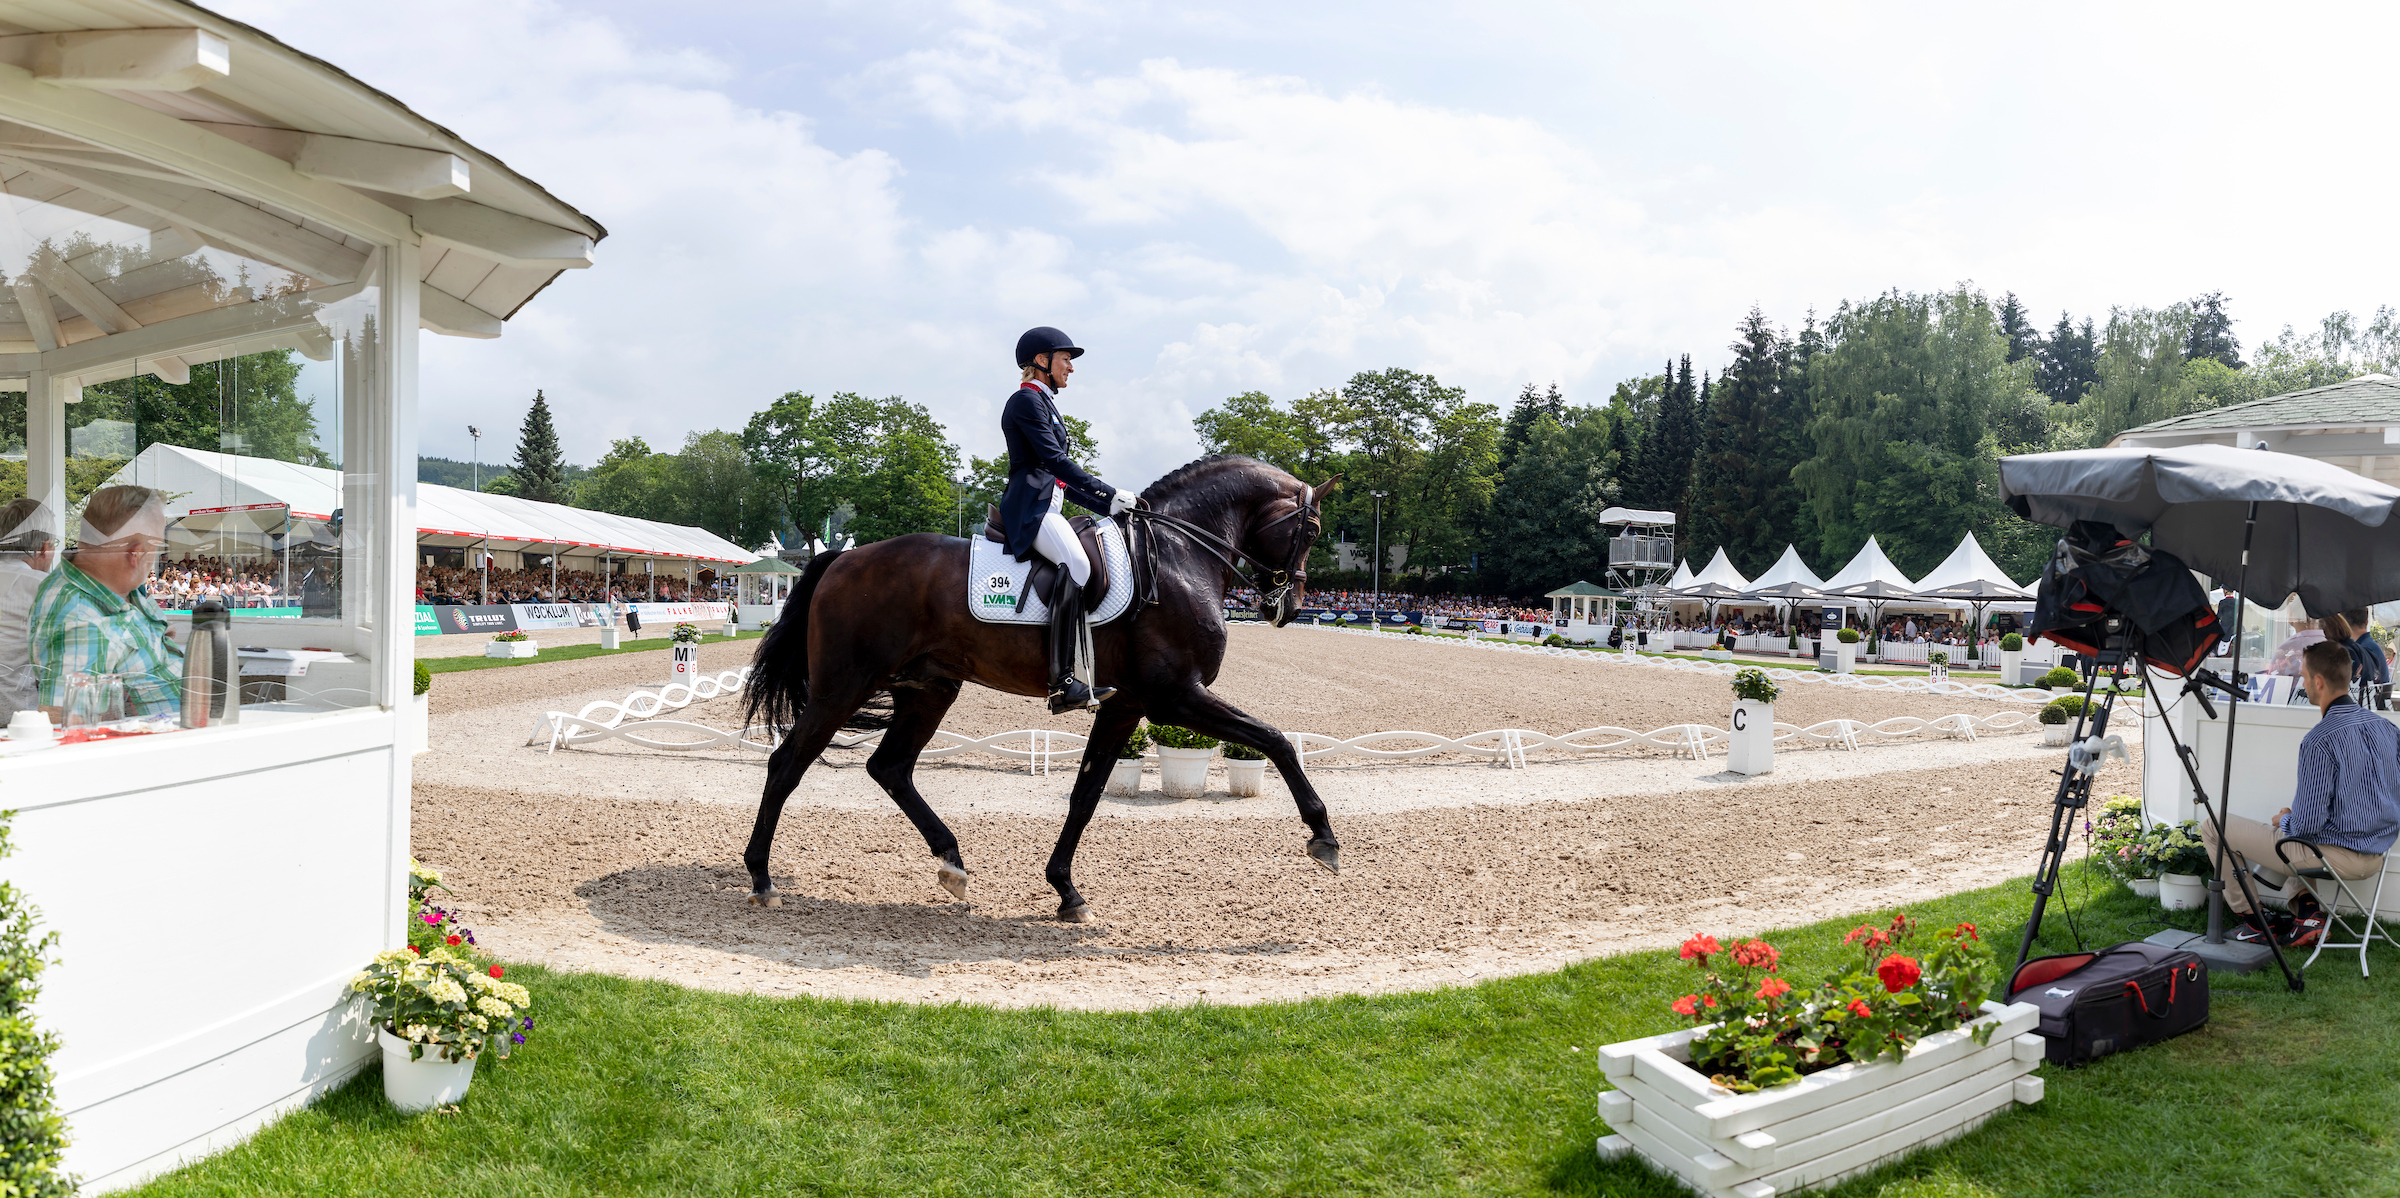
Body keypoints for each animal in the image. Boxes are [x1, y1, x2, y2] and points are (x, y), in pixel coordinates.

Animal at [744, 453, 1344, 921]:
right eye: (1313, 531)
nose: (1289, 607)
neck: (1179, 554)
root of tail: (843, 557)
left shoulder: (1125, 706)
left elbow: (1085, 794)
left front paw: (1066, 890)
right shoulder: (1175, 697)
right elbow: (1275, 740)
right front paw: (1323, 837)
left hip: (928, 689)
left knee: (889, 767)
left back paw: (953, 864)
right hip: (842, 687)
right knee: (787, 763)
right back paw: (761, 879)